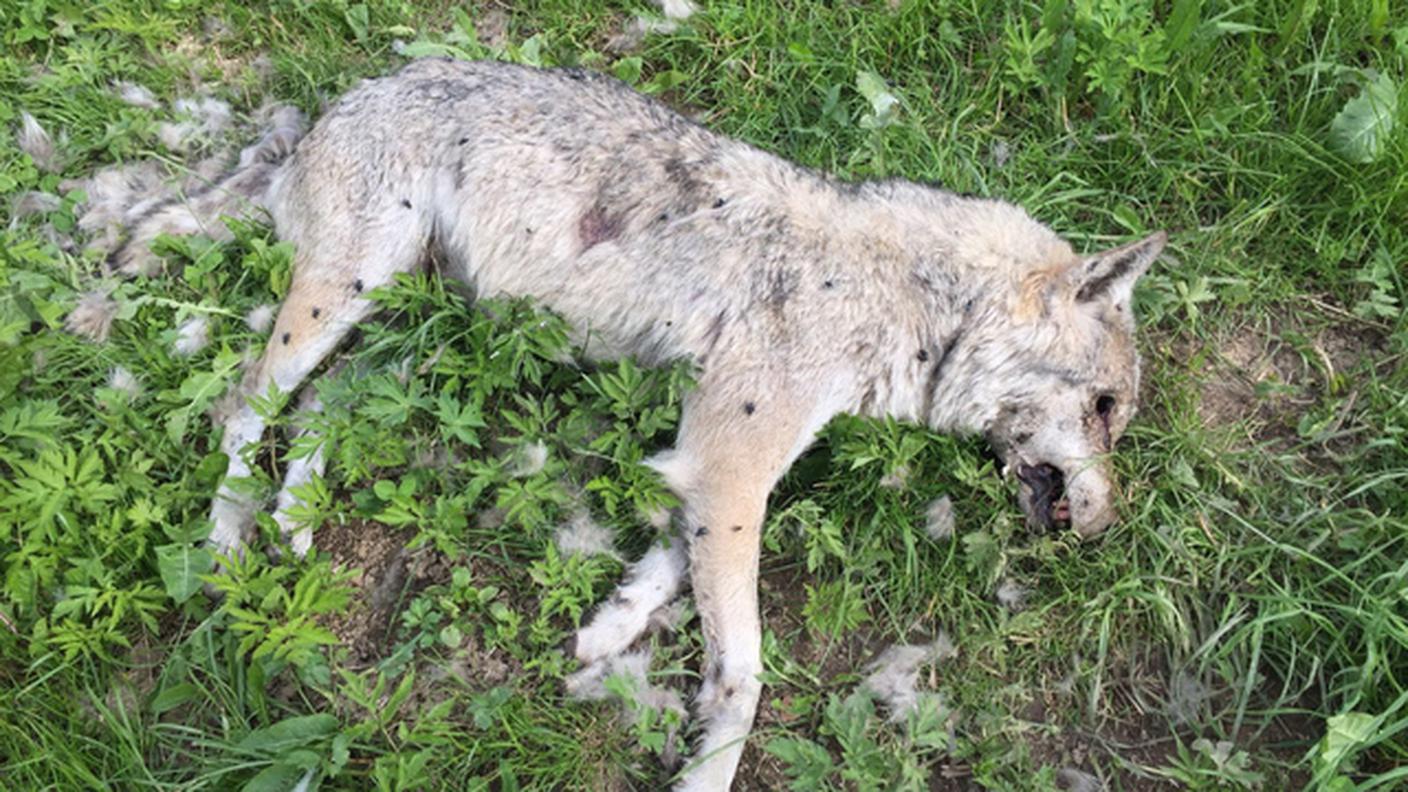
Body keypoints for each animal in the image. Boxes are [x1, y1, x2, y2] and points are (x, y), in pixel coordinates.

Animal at [99, 58, 1165, 783]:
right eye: (1108, 410)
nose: (1106, 525)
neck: (917, 305)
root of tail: (335, 103)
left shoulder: (701, 470)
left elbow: (664, 572)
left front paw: (604, 637)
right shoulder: (729, 469)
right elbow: (745, 676)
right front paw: (704, 769)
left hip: (403, 335)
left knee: (324, 407)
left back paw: (293, 519)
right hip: (344, 301)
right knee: (243, 402)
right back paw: (228, 544)